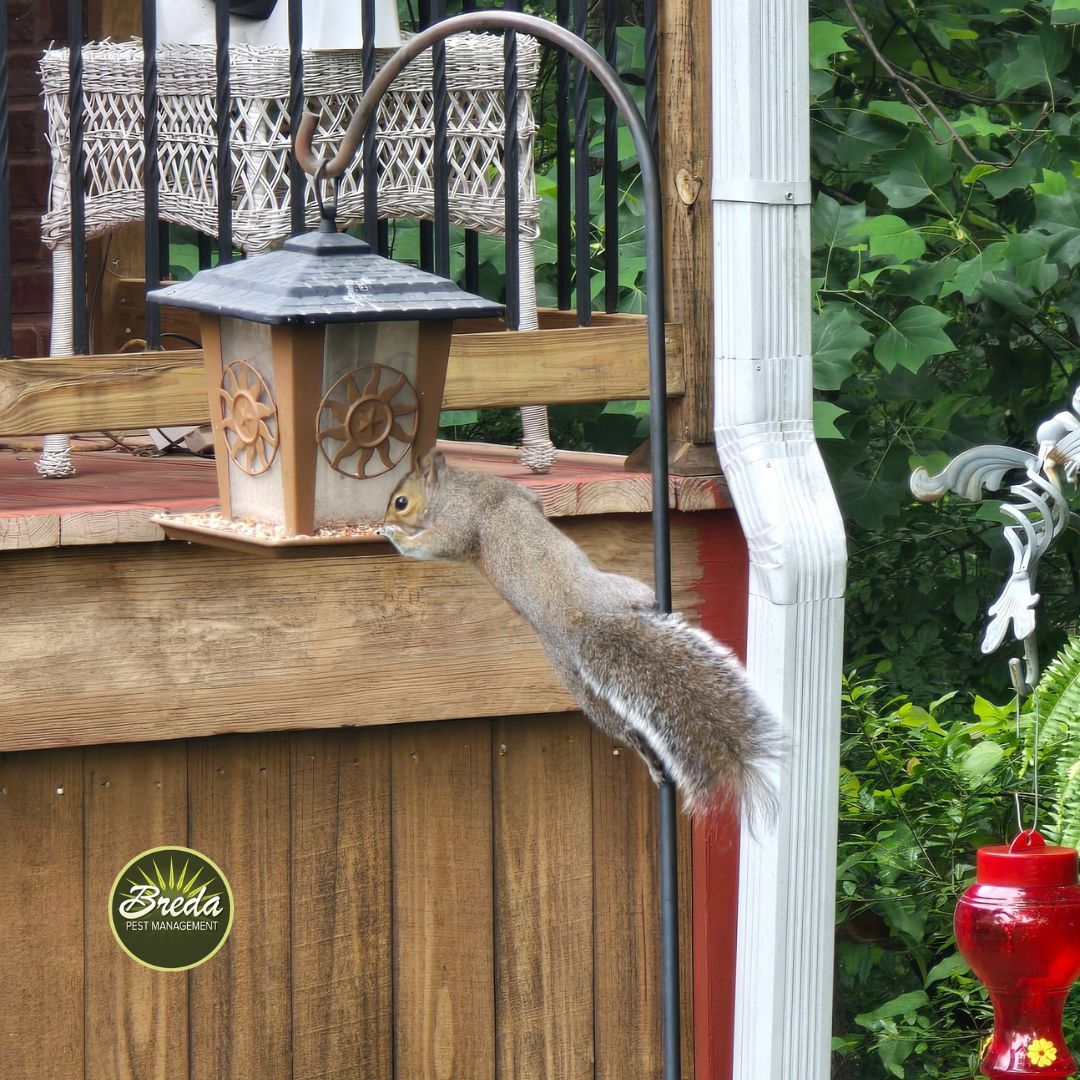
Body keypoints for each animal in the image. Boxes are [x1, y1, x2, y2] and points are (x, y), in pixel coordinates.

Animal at [382, 449, 786, 816]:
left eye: (400, 502)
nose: (381, 520)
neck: (455, 487)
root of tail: (580, 620)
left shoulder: (466, 516)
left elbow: (441, 543)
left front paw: (394, 534)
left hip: (605, 626)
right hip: (585, 676)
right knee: (626, 730)